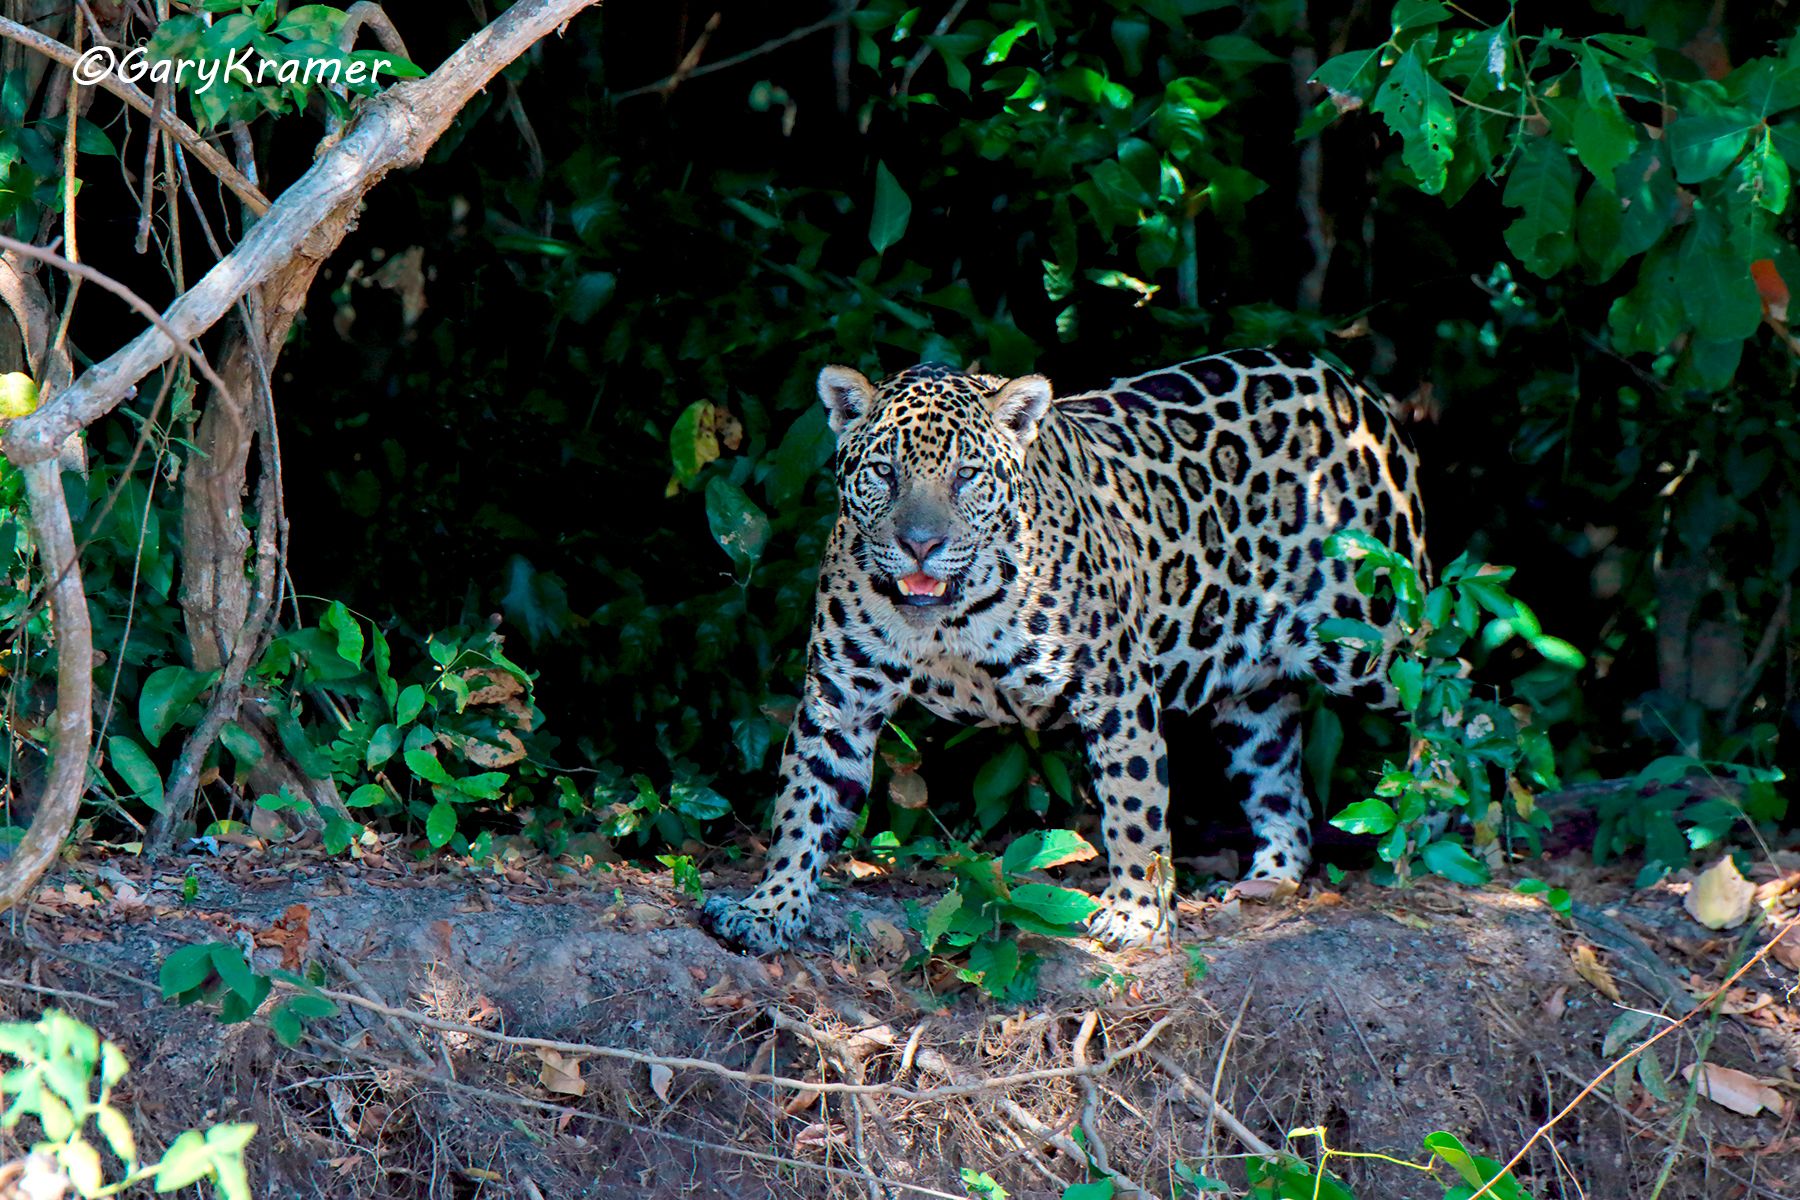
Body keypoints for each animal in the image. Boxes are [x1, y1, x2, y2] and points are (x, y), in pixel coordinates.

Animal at [699, 348, 1427, 953]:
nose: (920, 544)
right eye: (885, 471)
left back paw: (1426, 825)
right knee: (1280, 785)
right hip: (1252, 686)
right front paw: (769, 907)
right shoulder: (840, 699)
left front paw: (1136, 914)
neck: (949, 619)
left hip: (1373, 636)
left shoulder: (1117, 689)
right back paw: (1269, 878)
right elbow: (802, 803)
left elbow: (1135, 804)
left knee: (1443, 697)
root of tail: (1350, 385)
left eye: (966, 476)